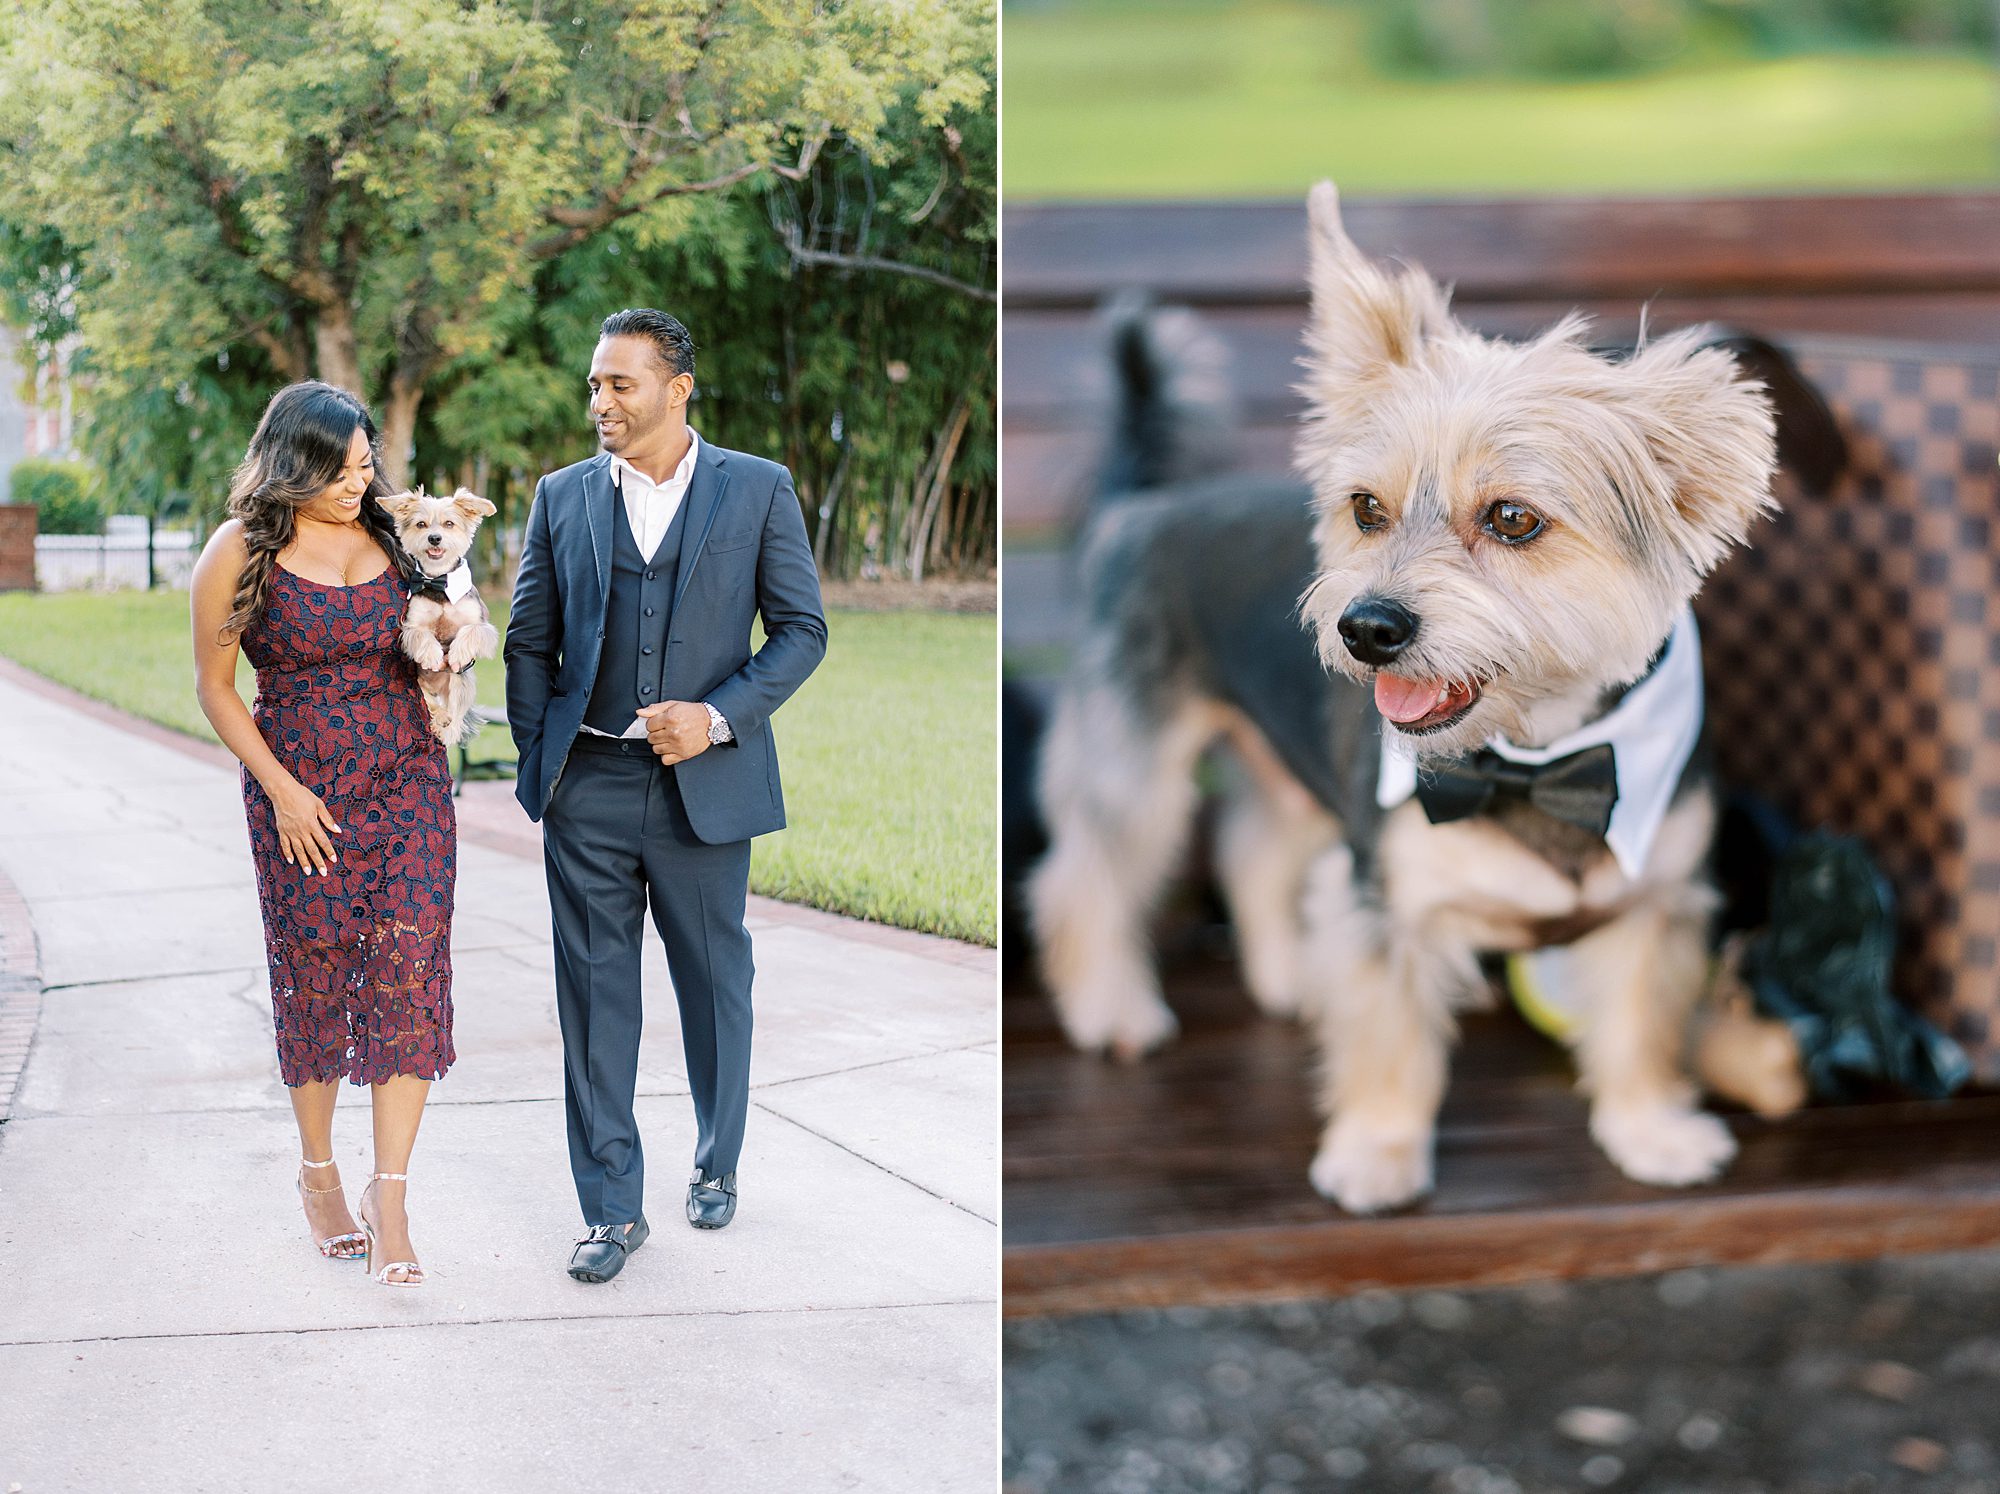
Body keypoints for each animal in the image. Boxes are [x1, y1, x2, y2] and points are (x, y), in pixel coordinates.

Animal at [1032, 184, 1784, 1216]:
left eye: (1513, 519)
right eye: (1366, 510)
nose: (1367, 627)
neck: (1539, 758)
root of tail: (1138, 507)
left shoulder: (1656, 901)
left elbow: (1640, 1021)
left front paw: (1650, 1130)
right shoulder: (1387, 899)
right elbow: (1389, 1040)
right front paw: (1379, 1153)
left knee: (1254, 850)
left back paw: (1289, 976)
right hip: (1134, 761)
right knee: (1087, 879)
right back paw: (1112, 1007)